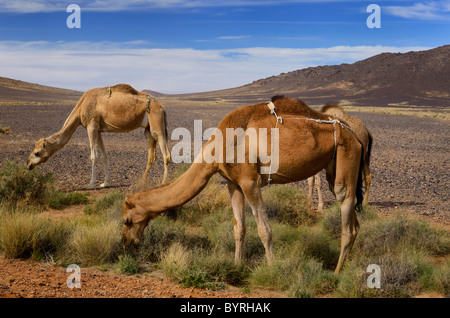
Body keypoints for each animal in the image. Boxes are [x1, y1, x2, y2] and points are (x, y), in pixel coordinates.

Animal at [26, 84, 171, 189]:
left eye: (37, 153)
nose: (28, 164)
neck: (80, 108)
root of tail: (162, 107)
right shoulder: (99, 130)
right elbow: (104, 155)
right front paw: (105, 183)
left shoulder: (91, 126)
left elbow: (93, 156)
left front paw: (90, 184)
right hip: (148, 129)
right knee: (151, 155)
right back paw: (141, 181)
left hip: (157, 122)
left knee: (166, 154)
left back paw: (163, 182)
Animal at [122, 95, 366, 274]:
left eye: (127, 221)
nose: (126, 243)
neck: (218, 148)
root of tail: (356, 135)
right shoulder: (233, 183)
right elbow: (239, 228)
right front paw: (237, 264)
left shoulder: (250, 182)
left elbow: (264, 230)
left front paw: (272, 268)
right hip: (333, 167)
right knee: (355, 224)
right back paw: (345, 267)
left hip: (346, 155)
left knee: (345, 210)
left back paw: (337, 272)